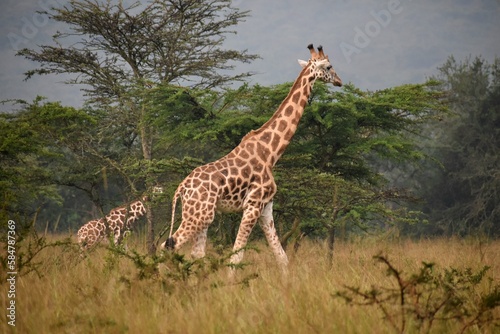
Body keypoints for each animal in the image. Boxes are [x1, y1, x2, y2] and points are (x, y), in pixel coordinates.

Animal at [162, 43, 342, 272]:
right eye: (328, 66)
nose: (339, 81)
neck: (271, 152)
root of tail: (181, 189)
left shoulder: (266, 208)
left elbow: (281, 257)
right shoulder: (253, 205)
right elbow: (236, 257)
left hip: (203, 215)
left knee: (196, 253)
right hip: (198, 214)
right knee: (169, 245)